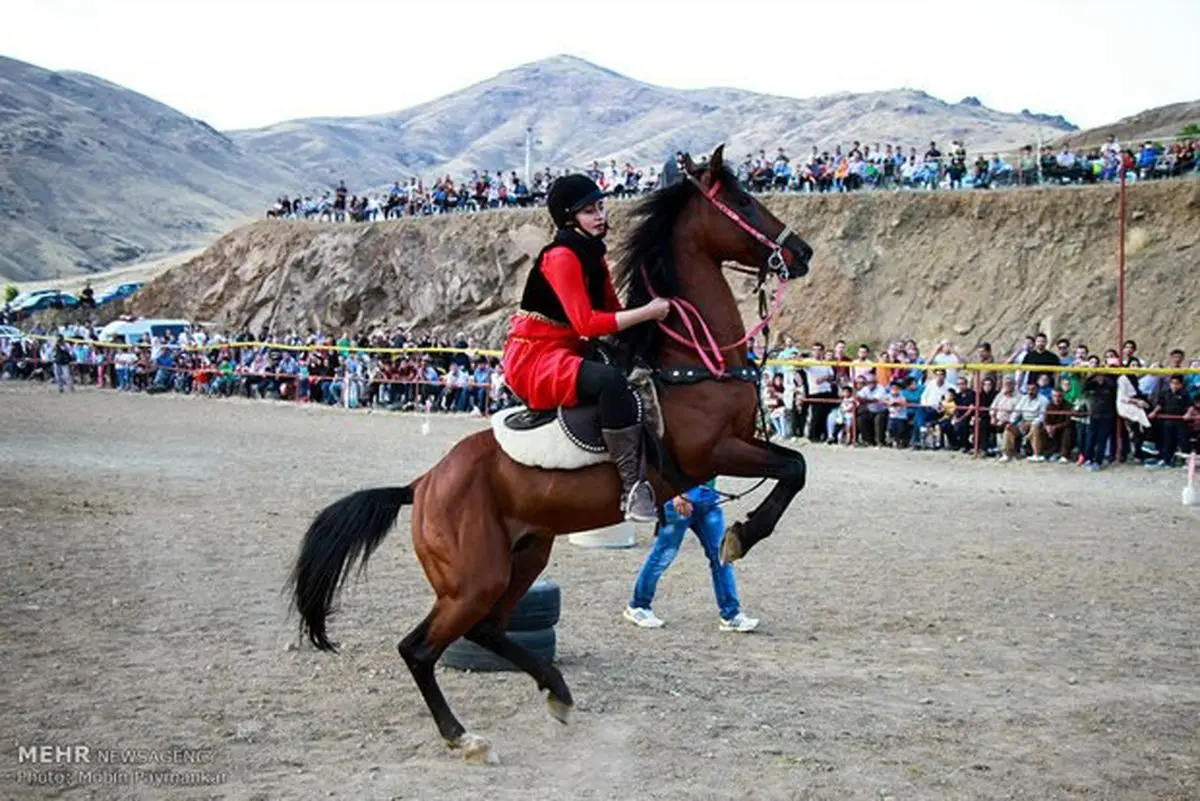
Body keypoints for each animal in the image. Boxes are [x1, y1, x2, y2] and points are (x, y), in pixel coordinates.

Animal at [290, 143, 816, 762]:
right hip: (474, 579)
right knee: (418, 648)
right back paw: (462, 735)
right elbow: (795, 469)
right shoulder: (714, 451)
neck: (688, 359)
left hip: (524, 555)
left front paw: (737, 536)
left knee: (488, 630)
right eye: (744, 201)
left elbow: (795, 466)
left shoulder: (734, 446)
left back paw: (556, 690)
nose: (801, 253)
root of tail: (422, 484)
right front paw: (742, 534)